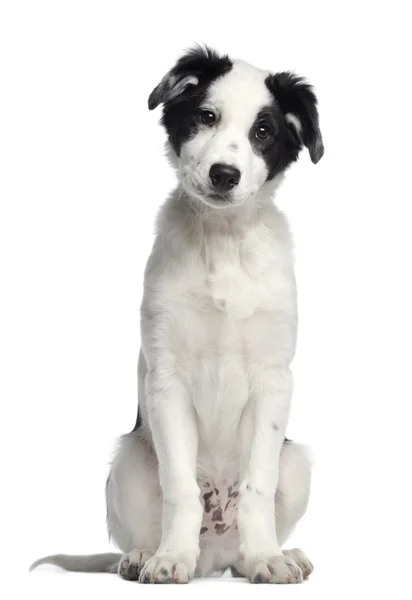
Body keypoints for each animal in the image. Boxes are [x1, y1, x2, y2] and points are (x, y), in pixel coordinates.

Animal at [30, 44, 324, 584]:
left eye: (264, 131)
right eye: (206, 117)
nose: (224, 175)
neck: (223, 241)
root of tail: (215, 557)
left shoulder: (274, 379)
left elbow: (257, 487)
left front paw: (268, 559)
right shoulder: (167, 378)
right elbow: (180, 487)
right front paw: (170, 559)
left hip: (296, 462)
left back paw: (271, 554)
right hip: (128, 461)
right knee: (150, 520)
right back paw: (146, 555)